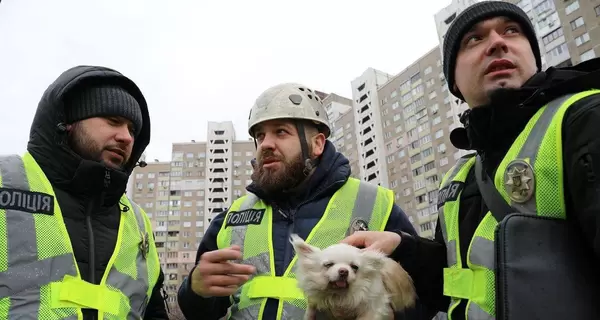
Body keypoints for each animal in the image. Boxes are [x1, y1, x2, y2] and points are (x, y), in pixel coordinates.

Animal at [290, 232, 418, 320]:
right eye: (328, 265)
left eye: (354, 267)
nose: (343, 271)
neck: (339, 296)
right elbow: (310, 312)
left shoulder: (374, 308)